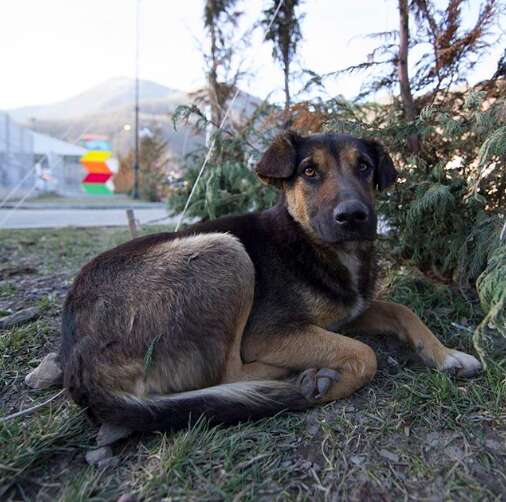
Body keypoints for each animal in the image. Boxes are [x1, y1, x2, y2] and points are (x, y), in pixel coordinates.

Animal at [60, 132, 482, 432]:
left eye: (364, 166)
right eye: (309, 171)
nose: (353, 216)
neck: (309, 243)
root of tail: (78, 362)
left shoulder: (349, 312)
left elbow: (402, 310)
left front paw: (446, 354)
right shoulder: (271, 333)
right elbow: (365, 354)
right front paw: (328, 381)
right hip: (225, 252)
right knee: (228, 373)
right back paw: (291, 380)